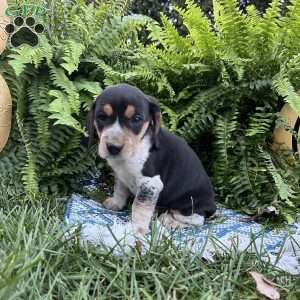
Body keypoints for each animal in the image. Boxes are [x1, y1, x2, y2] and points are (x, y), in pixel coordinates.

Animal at [88, 83, 217, 236]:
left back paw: (171, 221)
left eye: (137, 119)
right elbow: (119, 189)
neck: (136, 147)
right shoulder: (120, 174)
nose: (114, 147)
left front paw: (137, 232)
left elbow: (139, 209)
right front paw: (116, 203)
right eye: (102, 117)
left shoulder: (150, 183)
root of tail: (211, 206)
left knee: (197, 219)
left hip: (189, 204)